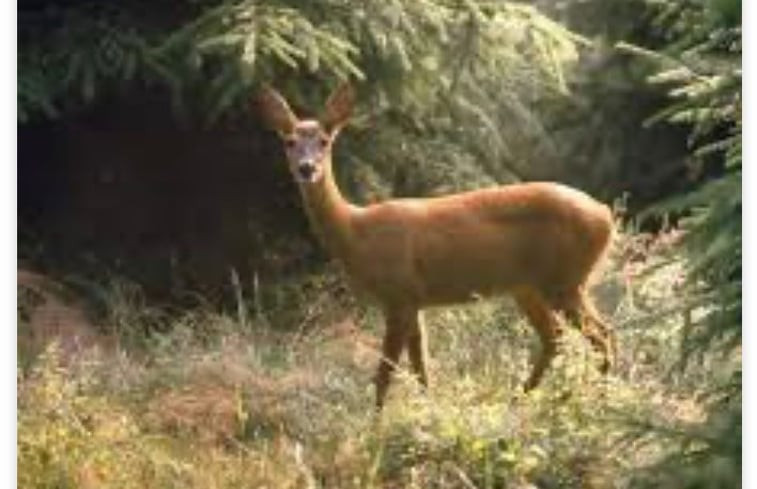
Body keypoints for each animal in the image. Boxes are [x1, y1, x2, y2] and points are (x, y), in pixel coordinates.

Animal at [256, 84, 616, 408]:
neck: (356, 232)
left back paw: (597, 399)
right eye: (289, 142)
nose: (307, 168)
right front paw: (428, 410)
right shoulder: (414, 300)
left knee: (601, 334)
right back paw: (527, 398)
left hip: (565, 279)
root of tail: (606, 216)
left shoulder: (398, 295)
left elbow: (386, 372)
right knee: (556, 337)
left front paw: (375, 426)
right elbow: (421, 368)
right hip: (529, 287)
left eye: (324, 141)